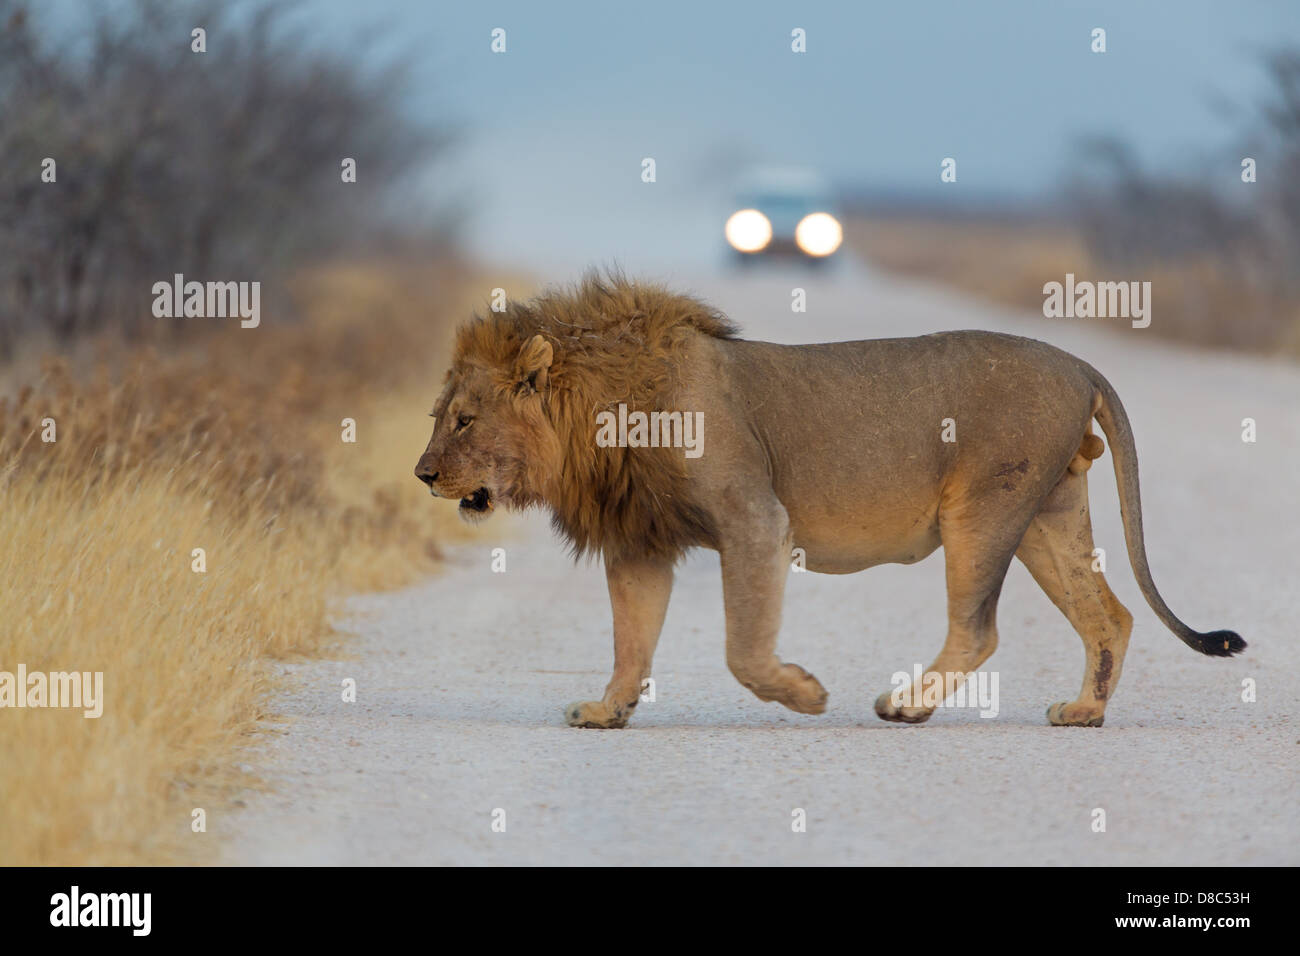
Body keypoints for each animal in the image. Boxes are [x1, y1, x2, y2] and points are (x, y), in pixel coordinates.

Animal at [416, 273, 1248, 728]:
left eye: (463, 421)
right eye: (439, 416)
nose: (423, 474)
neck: (601, 414)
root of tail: (1080, 362)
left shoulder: (755, 518)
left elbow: (743, 648)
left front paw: (805, 694)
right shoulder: (641, 542)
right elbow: (631, 642)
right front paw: (605, 711)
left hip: (985, 508)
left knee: (979, 628)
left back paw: (905, 705)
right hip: (1048, 512)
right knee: (1109, 617)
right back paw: (1083, 712)